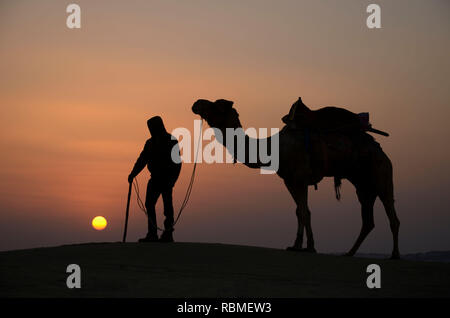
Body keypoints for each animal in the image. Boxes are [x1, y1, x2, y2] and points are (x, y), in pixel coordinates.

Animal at [192, 97, 400, 258]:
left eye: (216, 105)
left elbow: (304, 211)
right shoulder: (289, 181)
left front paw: (310, 247)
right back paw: (349, 253)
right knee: (368, 220)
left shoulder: (300, 178)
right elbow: (300, 211)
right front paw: (297, 245)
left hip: (381, 173)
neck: (273, 148)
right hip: (363, 185)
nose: (197, 103)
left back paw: (394, 255)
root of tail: (380, 149)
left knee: (390, 211)